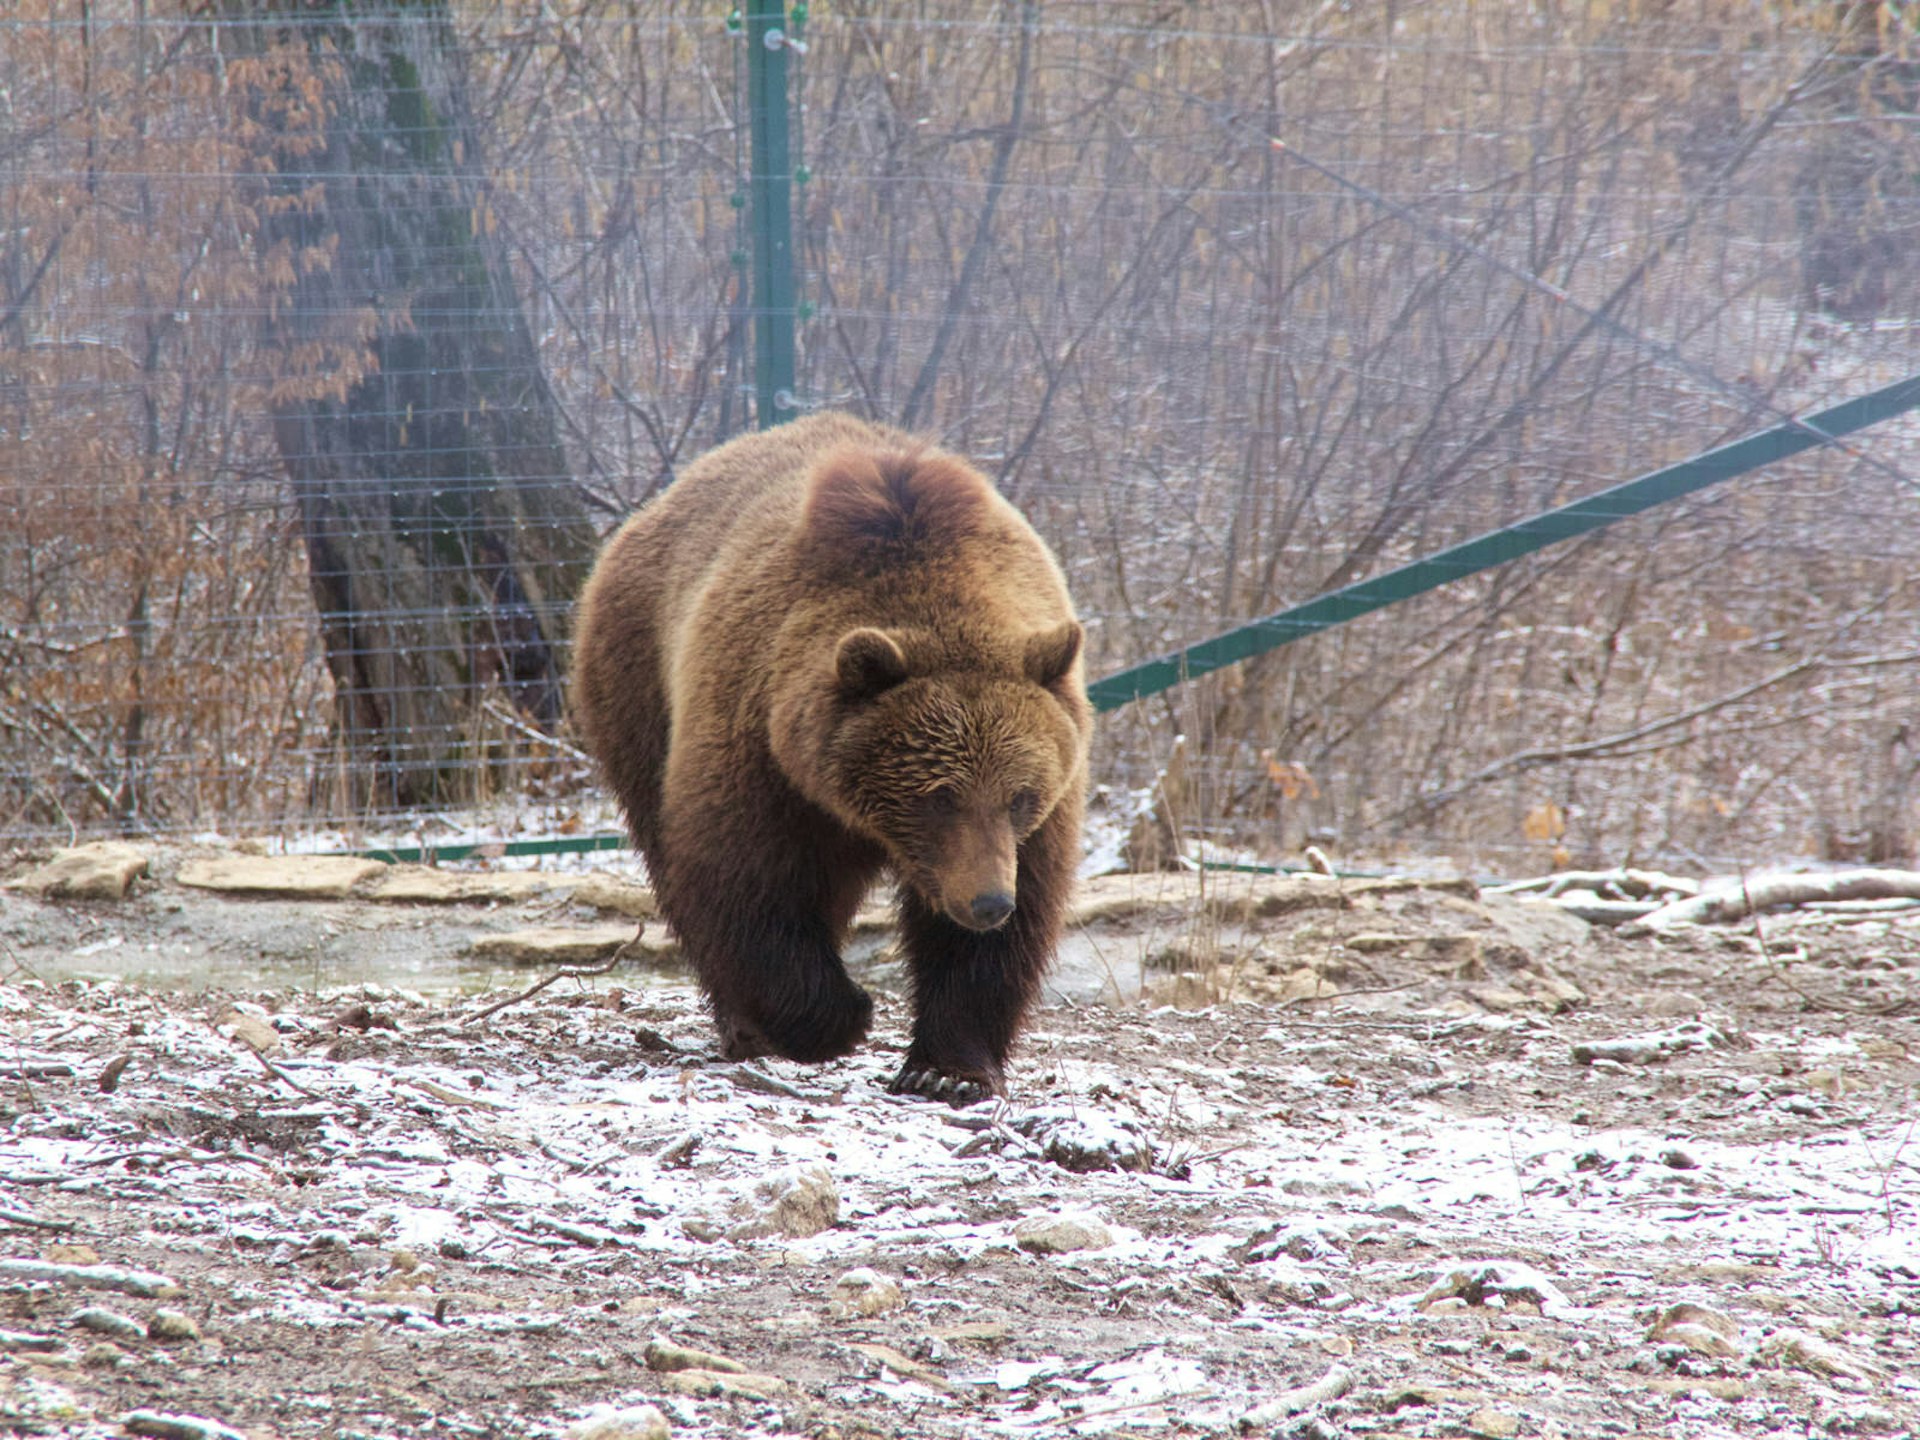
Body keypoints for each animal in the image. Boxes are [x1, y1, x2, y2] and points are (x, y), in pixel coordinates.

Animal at [568, 414, 1090, 1105]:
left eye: (1020, 796)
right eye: (938, 794)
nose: (986, 903)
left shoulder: (1032, 817)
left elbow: (1009, 924)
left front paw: (946, 1069)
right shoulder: (759, 746)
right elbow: (746, 881)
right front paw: (837, 1017)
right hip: (637, 680)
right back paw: (744, 1025)